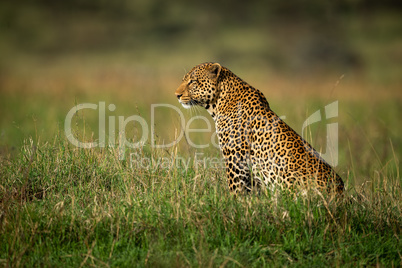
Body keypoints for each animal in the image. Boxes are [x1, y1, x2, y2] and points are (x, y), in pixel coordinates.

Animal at [174, 62, 344, 195]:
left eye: (192, 82)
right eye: (183, 80)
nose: (177, 95)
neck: (219, 102)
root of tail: (341, 194)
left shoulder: (235, 159)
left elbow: (235, 190)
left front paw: (234, 205)